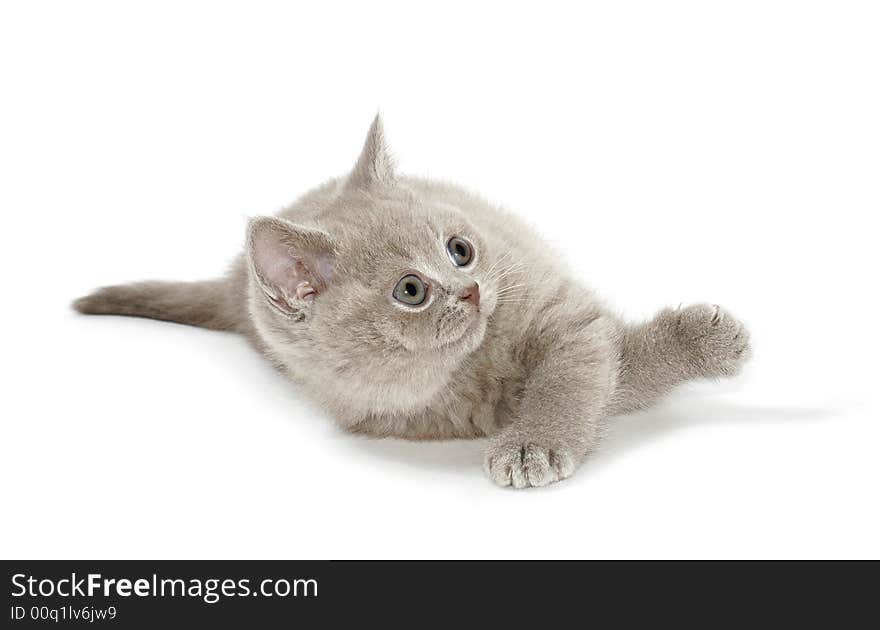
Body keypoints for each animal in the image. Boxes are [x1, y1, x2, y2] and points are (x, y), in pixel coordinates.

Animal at [74, 116, 748, 492]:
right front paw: (530, 445)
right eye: (411, 291)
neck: (477, 361)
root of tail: (235, 279)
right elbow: (604, 377)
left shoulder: (564, 316)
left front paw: (707, 339)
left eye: (460, 249)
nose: (471, 289)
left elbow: (577, 376)